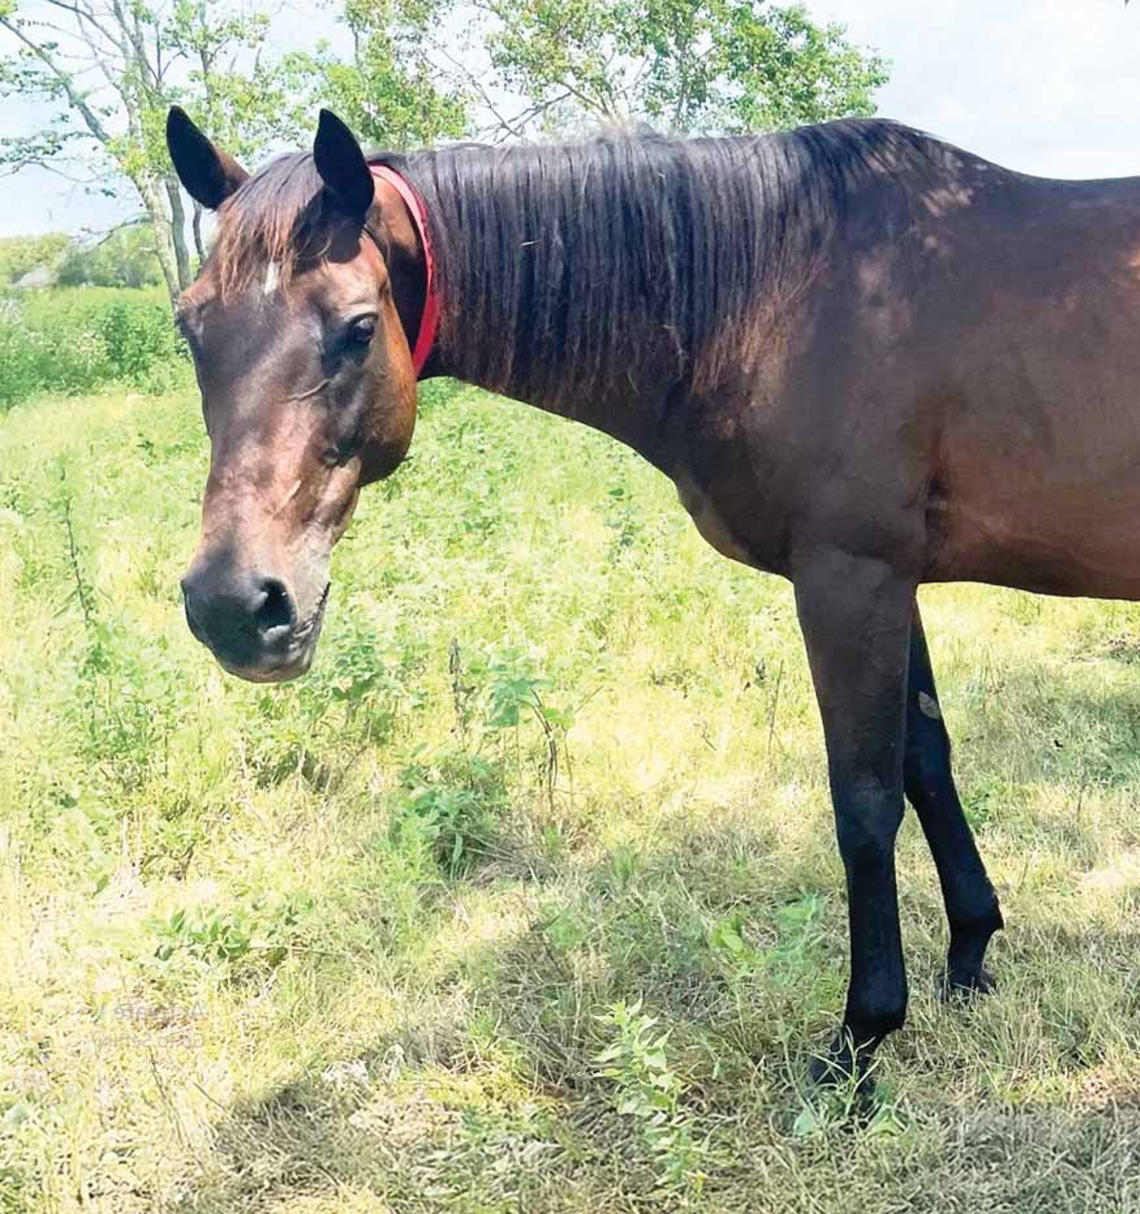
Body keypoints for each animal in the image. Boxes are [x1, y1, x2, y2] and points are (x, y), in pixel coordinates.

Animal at [165, 103, 1140, 1089]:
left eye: (359, 328)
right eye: (189, 328)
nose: (234, 606)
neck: (785, 296)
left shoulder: (849, 579)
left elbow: (864, 802)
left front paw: (862, 1038)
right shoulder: (890, 581)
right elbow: (926, 762)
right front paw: (970, 954)